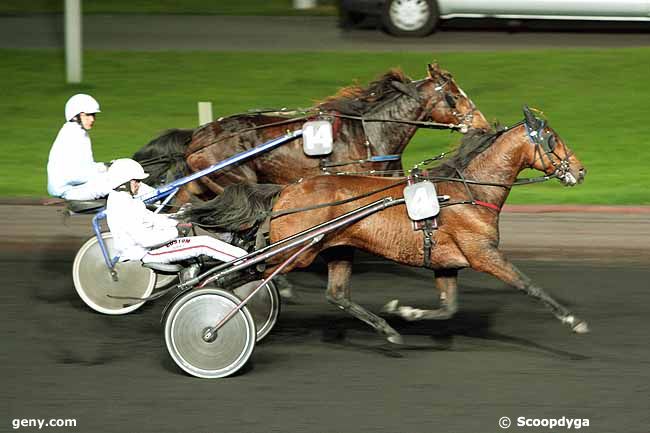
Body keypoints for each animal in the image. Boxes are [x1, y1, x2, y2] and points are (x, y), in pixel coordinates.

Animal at [132, 62, 486, 202]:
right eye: (454, 96)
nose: (481, 123)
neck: (371, 135)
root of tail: (199, 136)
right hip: (233, 179)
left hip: (201, 184)